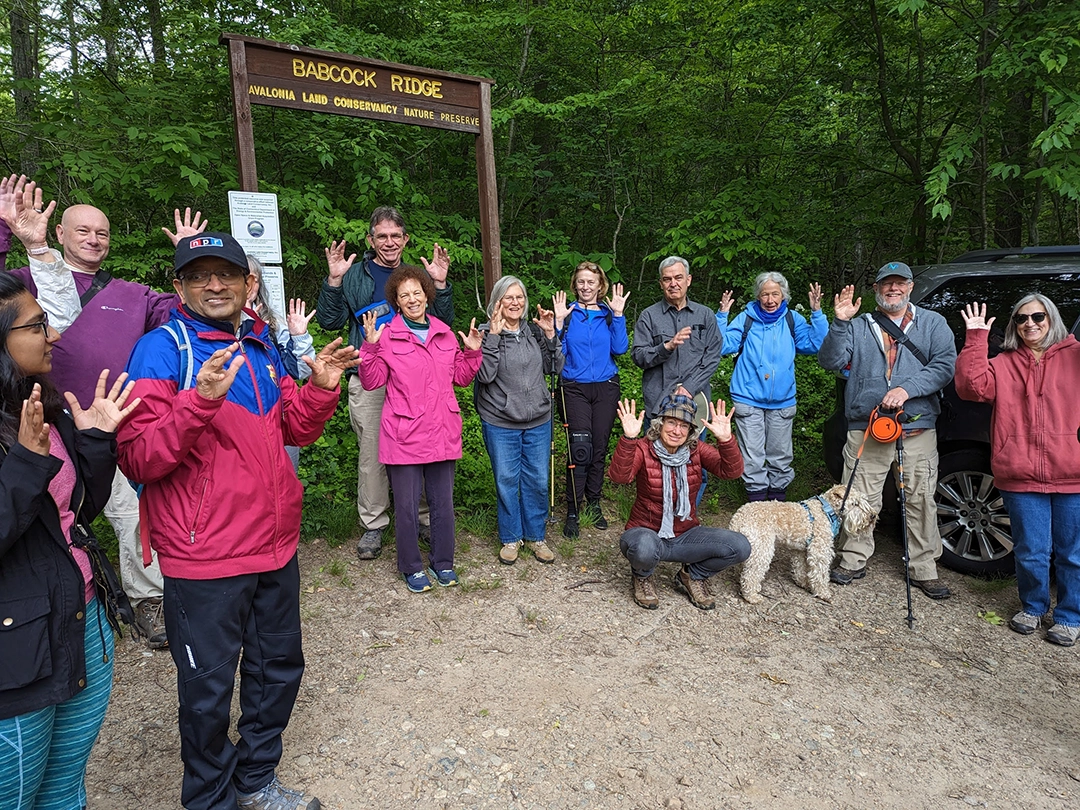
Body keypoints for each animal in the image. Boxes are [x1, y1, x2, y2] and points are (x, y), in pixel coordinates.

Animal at [734, 486, 876, 604]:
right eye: (855, 503)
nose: (873, 516)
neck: (826, 510)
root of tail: (737, 518)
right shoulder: (820, 551)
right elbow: (821, 575)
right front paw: (823, 593)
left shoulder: (799, 550)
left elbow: (800, 568)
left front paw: (803, 583)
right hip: (762, 550)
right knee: (750, 574)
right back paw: (752, 596)